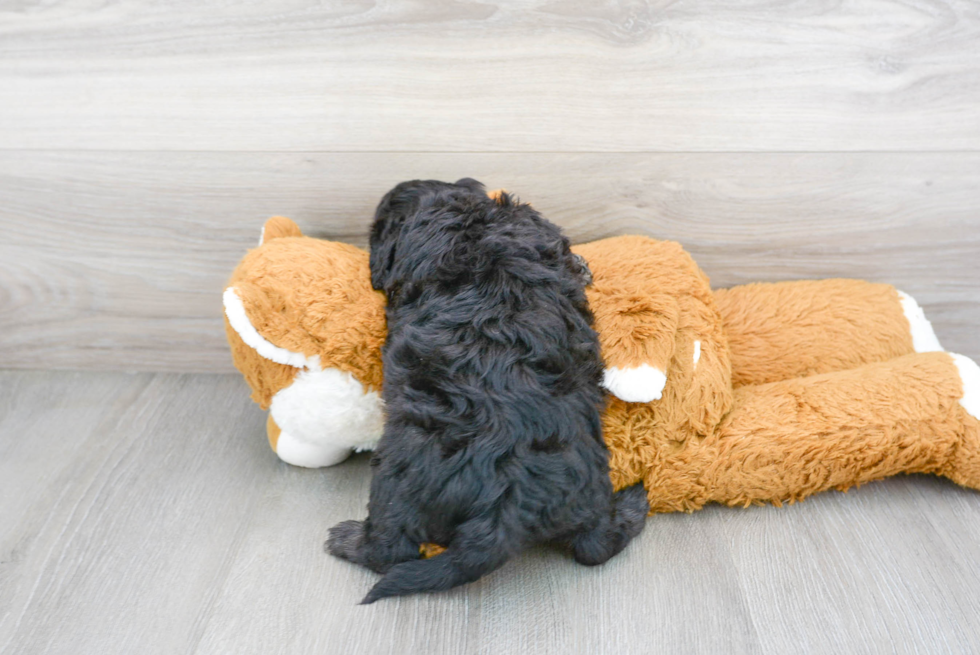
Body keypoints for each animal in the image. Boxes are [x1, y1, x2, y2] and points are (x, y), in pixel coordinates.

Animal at [330, 178, 648, 604]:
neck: (474, 223)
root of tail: (503, 508)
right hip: (588, 488)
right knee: (596, 546)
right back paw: (631, 506)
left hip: (396, 480)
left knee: (389, 550)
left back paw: (345, 540)